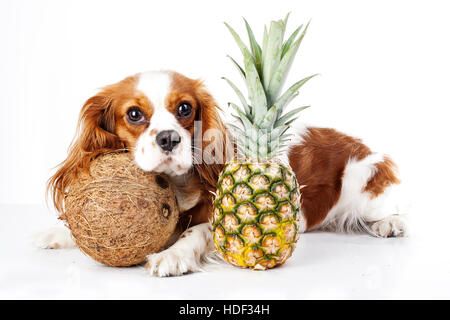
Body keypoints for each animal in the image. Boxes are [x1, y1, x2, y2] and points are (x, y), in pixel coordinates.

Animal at [37, 71, 406, 276]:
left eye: (185, 108)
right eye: (134, 114)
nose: (168, 138)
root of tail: (357, 142)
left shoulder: (216, 218)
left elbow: (195, 233)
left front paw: (172, 256)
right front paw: (58, 234)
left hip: (364, 177)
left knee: (388, 208)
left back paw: (389, 224)